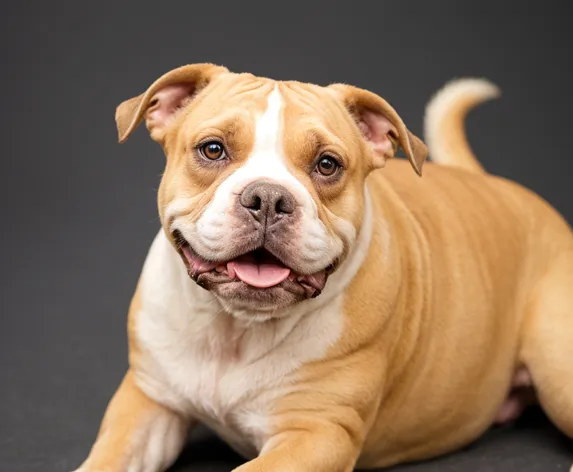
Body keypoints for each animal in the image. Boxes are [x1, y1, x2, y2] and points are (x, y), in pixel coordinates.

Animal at [71, 63, 572, 472]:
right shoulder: (148, 402)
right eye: (212, 150)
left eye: (327, 164)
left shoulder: (316, 435)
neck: (236, 328)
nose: (267, 197)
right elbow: (108, 458)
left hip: (558, 370)